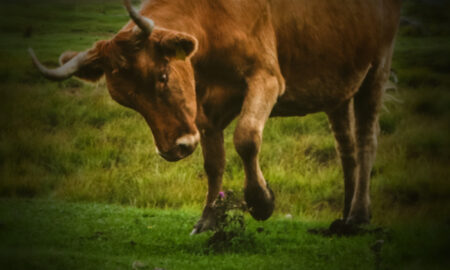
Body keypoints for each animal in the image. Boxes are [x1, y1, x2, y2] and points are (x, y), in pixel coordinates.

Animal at [29, 0, 400, 234]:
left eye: (162, 75)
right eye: (127, 100)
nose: (175, 148)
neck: (212, 22)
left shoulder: (267, 78)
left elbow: (246, 138)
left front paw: (261, 201)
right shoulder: (204, 106)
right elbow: (214, 161)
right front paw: (209, 218)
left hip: (376, 70)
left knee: (366, 140)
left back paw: (358, 215)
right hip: (338, 88)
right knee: (346, 148)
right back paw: (344, 214)